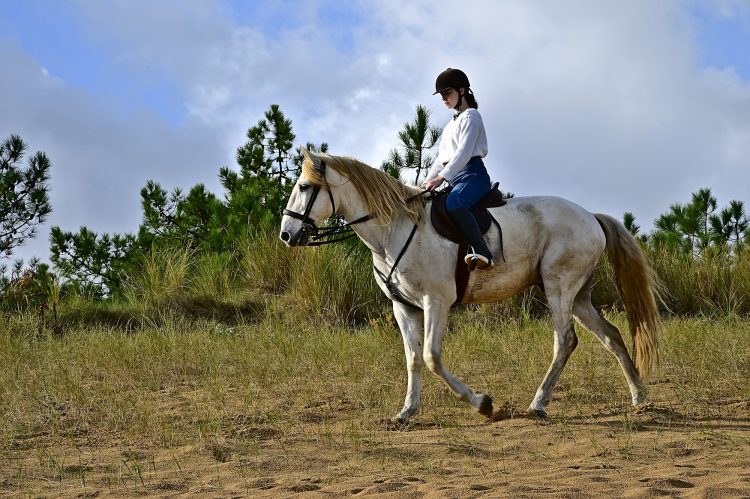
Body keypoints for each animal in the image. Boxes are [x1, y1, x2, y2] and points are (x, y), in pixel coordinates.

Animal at [280, 149, 661, 423]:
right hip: (578, 296)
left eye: (304, 187)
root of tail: (591, 217)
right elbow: (413, 360)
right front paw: (406, 412)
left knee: (565, 341)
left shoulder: (436, 301)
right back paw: (639, 397)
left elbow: (432, 357)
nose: (286, 235)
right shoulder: (404, 308)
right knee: (611, 336)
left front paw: (483, 404)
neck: (394, 231)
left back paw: (538, 404)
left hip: (559, 289)